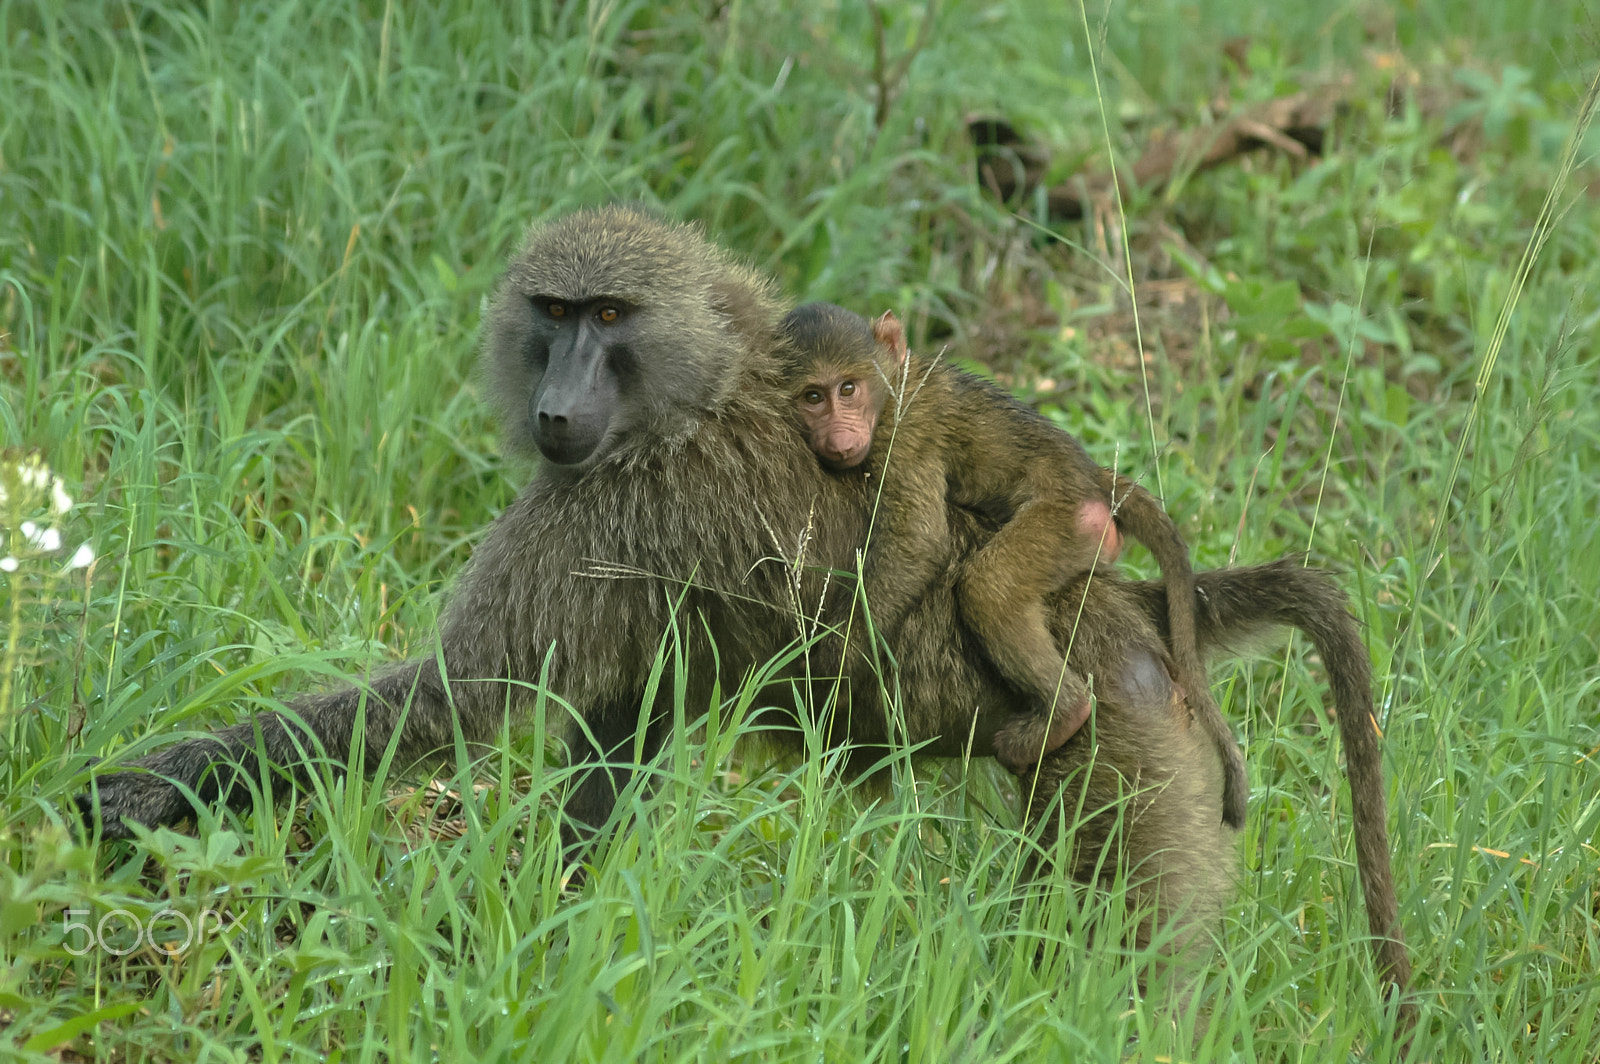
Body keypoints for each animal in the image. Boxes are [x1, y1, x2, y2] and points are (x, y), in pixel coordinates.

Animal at [780, 302, 1251, 831]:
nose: (838, 437)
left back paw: (1064, 712)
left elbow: (919, 540)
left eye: (848, 389)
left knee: (989, 588)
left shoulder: (903, 437)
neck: (893, 385)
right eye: (812, 397)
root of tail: (1091, 478)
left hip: (1068, 522)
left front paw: (830, 664)